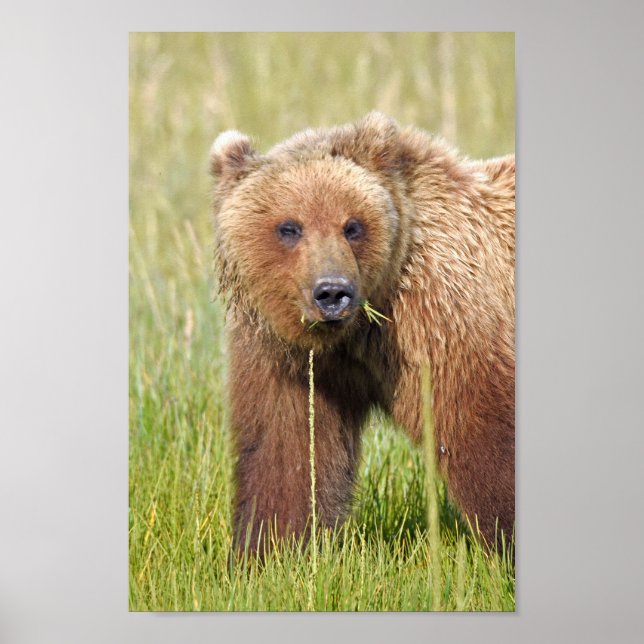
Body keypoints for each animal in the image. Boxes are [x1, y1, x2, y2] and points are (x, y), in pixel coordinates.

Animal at [210, 112, 515, 555]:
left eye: (352, 226)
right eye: (290, 227)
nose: (332, 292)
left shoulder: (437, 315)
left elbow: (481, 424)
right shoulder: (289, 359)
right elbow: (286, 449)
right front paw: (269, 549)